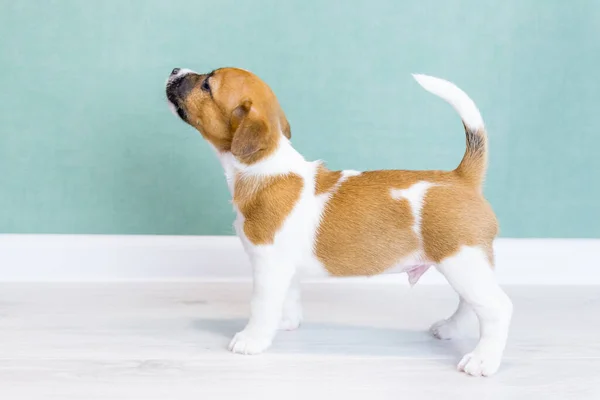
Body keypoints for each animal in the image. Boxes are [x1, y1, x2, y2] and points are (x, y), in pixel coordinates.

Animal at [164, 67, 510, 376]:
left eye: (207, 84)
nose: (175, 70)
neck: (265, 167)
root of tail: (461, 177)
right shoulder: (285, 269)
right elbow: (288, 298)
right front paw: (286, 323)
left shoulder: (268, 266)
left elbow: (261, 307)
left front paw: (252, 340)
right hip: (467, 265)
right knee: (470, 304)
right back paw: (450, 329)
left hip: (462, 263)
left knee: (497, 308)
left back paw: (482, 361)